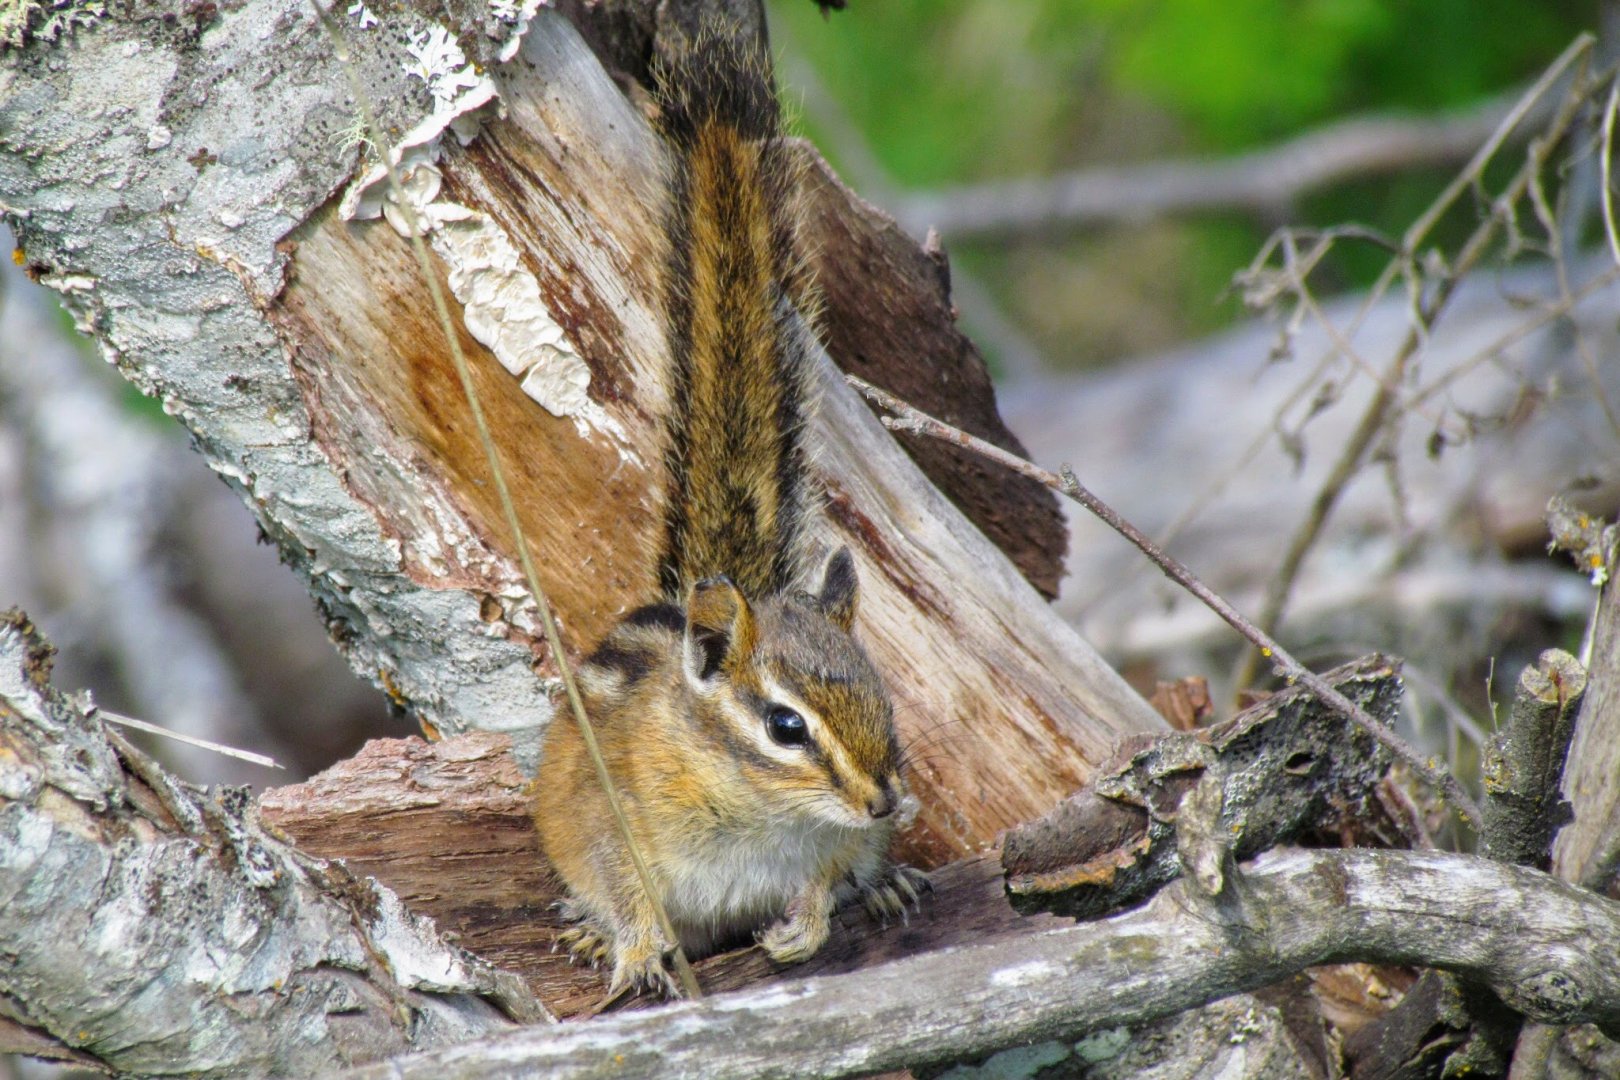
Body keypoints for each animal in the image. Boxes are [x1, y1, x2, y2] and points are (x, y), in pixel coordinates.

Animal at [531, 26, 926, 999]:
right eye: (785, 726)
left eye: (880, 696)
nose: (884, 801)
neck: (755, 808)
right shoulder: (607, 813)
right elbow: (622, 883)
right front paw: (634, 949)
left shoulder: (835, 840)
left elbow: (827, 874)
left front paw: (810, 923)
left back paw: (887, 883)